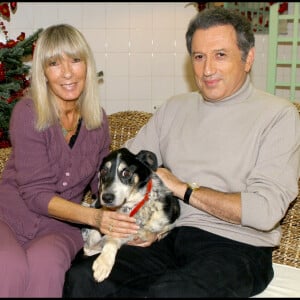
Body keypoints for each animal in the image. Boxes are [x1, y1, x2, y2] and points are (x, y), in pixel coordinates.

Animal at [82, 149, 179, 282]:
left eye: (126, 172)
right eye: (104, 171)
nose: (106, 198)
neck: (135, 207)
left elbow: (159, 230)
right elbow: (110, 239)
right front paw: (104, 262)